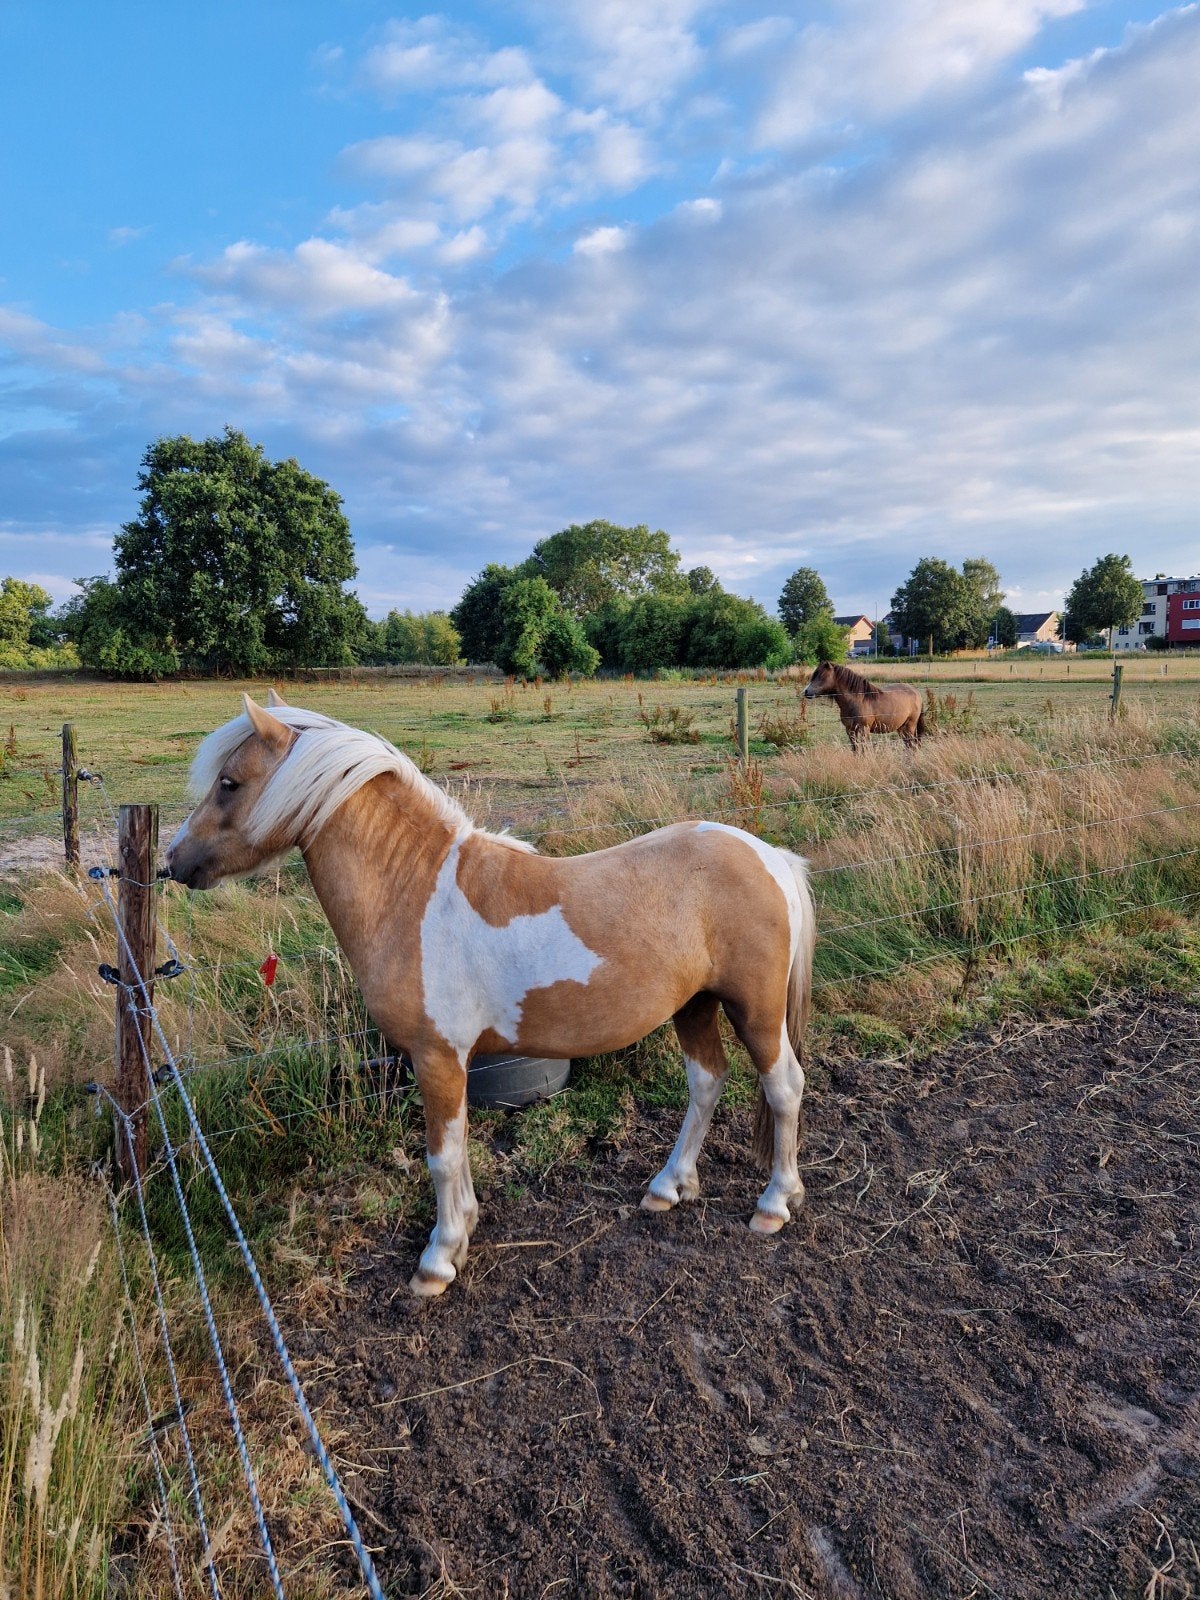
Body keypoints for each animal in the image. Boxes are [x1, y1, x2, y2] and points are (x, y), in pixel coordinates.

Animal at [166, 694, 817, 1297]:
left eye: (229, 783)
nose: (174, 861)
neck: (412, 893)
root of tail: (769, 856)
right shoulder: (450, 1062)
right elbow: (457, 1154)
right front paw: (462, 1233)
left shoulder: (436, 1057)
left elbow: (442, 1156)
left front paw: (438, 1258)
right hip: (694, 1006)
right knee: (706, 1082)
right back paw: (668, 1186)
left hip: (756, 1012)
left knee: (784, 1087)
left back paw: (774, 1203)